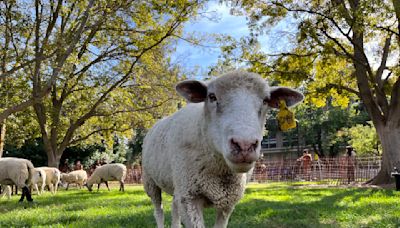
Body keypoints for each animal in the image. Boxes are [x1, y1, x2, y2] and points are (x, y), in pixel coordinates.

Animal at [142, 70, 302, 227]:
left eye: (265, 100)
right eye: (212, 96)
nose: (244, 145)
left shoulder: (227, 201)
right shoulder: (189, 198)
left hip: (177, 185)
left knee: (174, 208)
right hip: (151, 182)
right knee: (159, 211)